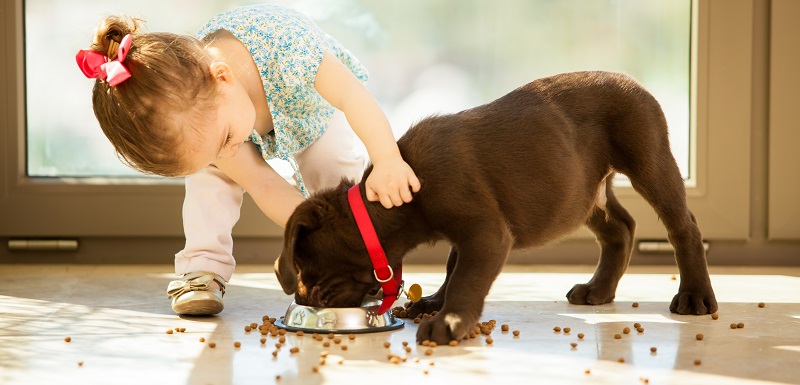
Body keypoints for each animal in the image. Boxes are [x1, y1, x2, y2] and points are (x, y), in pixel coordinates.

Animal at [276, 70, 720, 344]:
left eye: (307, 269)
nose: (305, 299)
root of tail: (632, 80)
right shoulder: (470, 232)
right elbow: (453, 266)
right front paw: (435, 303)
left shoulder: (484, 231)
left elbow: (466, 277)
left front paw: (448, 321)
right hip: (581, 192)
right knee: (621, 227)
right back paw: (598, 289)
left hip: (649, 158)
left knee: (683, 226)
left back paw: (695, 296)